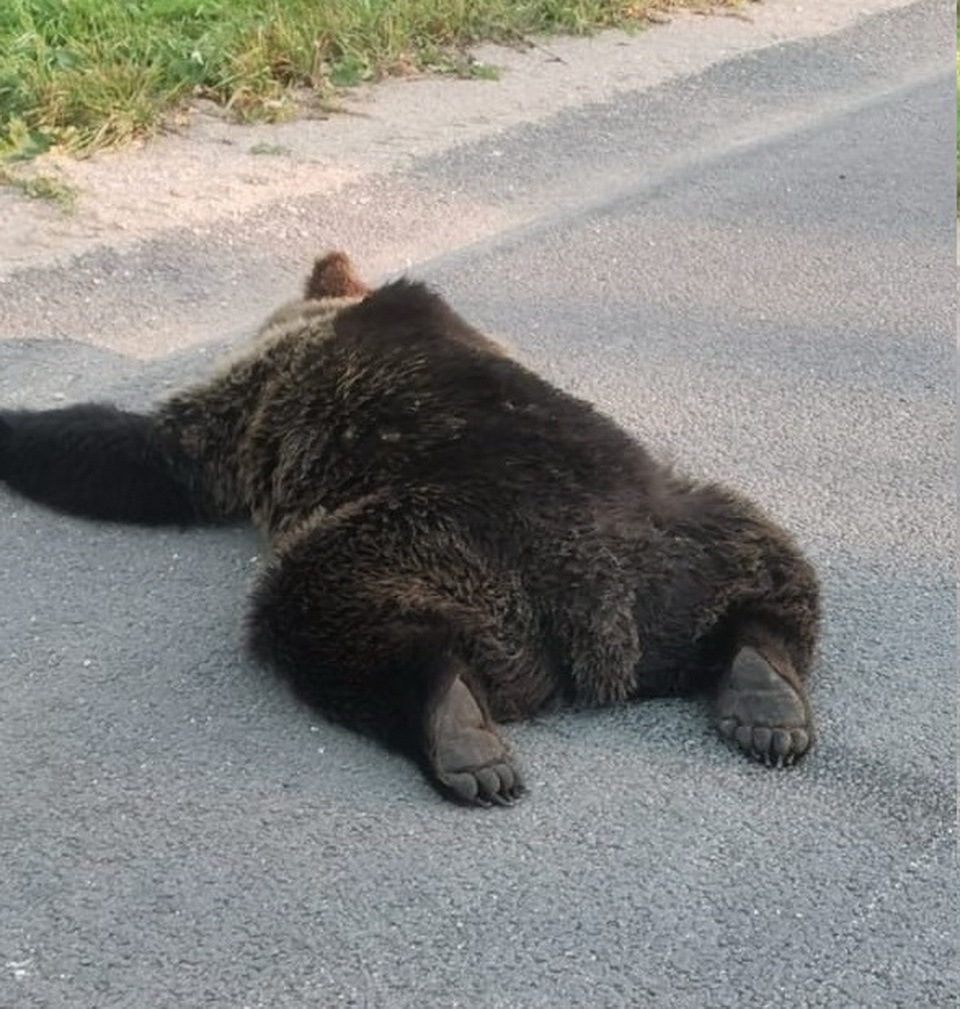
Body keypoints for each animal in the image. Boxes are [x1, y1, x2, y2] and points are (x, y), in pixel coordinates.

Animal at [1, 250, 827, 803]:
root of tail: (600, 618)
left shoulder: (252, 402)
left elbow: (149, 456)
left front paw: (17, 422)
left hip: (428, 542)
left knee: (318, 606)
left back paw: (457, 730)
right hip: (678, 540)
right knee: (767, 559)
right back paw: (765, 695)